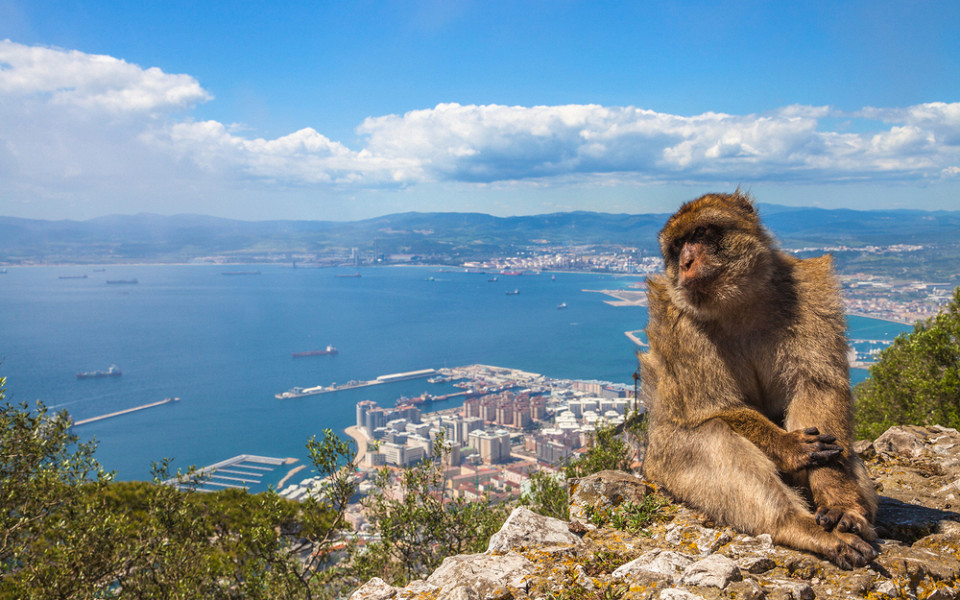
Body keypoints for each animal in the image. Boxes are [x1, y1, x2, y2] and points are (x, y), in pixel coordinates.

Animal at [638, 191, 879, 570]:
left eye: (702, 233)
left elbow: (817, 388)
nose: (687, 261)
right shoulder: (677, 320)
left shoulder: (811, 290)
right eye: (677, 246)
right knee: (713, 435)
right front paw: (789, 447)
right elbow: (715, 406)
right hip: (665, 464)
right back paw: (799, 527)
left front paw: (840, 503)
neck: (737, 302)